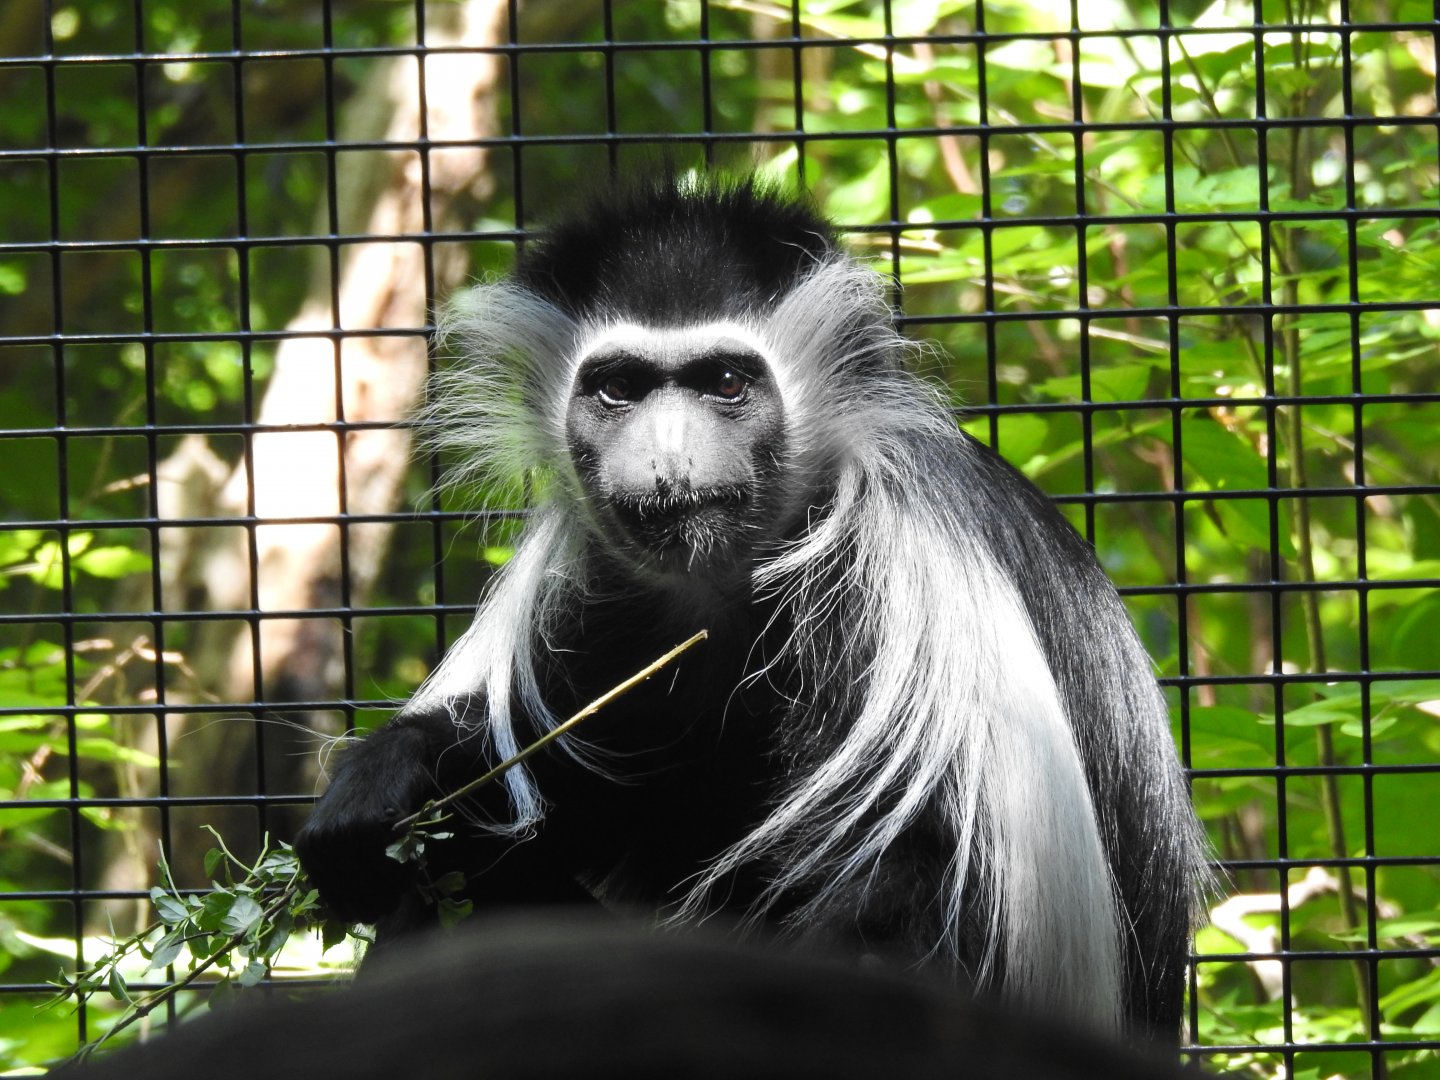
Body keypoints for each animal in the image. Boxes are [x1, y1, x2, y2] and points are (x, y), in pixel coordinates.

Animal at [293, 175, 1209, 1040]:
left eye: (725, 383)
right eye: (619, 389)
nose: (668, 463)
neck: (727, 587)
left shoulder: (896, 575)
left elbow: (920, 873)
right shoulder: (593, 596)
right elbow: (537, 771)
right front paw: (389, 777)